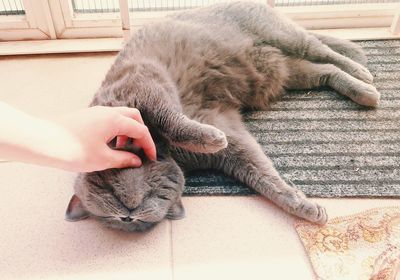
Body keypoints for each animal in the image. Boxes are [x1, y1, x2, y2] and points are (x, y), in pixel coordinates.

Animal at [64, 1, 380, 231]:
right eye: (112, 219)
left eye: (106, 190)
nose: (128, 217)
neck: (172, 154)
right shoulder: (232, 137)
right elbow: (263, 176)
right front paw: (304, 206)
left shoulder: (145, 87)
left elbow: (171, 118)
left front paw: (210, 138)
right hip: (288, 72)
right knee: (326, 70)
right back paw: (363, 92)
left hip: (281, 34)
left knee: (323, 49)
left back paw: (362, 72)